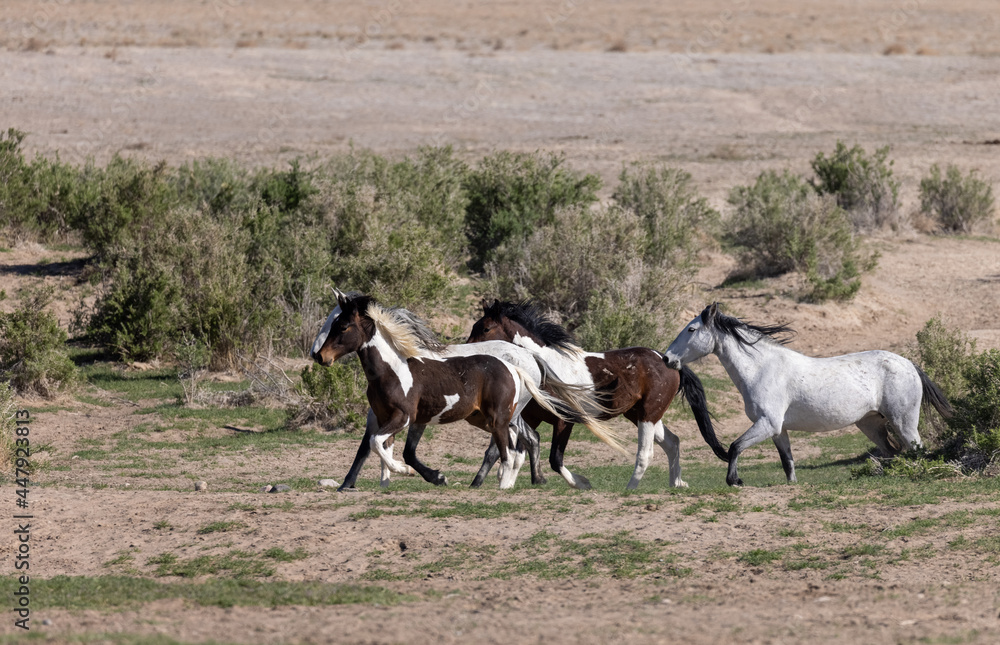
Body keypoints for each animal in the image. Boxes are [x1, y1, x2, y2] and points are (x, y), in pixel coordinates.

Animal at [312, 292, 623, 490]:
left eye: (342, 325)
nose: (319, 356)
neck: (396, 368)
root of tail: (528, 359)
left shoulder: (404, 416)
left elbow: (379, 445)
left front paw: (408, 473)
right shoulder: (388, 417)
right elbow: (377, 447)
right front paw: (355, 483)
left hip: (503, 415)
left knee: (512, 445)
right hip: (491, 417)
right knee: (521, 442)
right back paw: (523, 480)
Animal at [467, 299, 728, 490]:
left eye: (486, 328)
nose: (468, 349)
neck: (546, 367)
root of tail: (668, 361)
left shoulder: (564, 421)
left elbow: (555, 459)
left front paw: (582, 483)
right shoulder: (531, 418)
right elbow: (521, 451)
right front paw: (506, 483)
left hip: (648, 414)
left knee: (646, 453)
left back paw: (630, 489)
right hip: (641, 414)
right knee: (672, 442)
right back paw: (677, 483)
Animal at [663, 302, 954, 487]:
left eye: (691, 329)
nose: (667, 359)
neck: (762, 368)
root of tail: (910, 364)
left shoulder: (767, 424)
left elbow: (735, 446)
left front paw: (734, 481)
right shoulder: (778, 429)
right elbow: (787, 462)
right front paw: (791, 485)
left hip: (904, 423)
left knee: (916, 450)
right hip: (871, 425)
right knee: (893, 452)